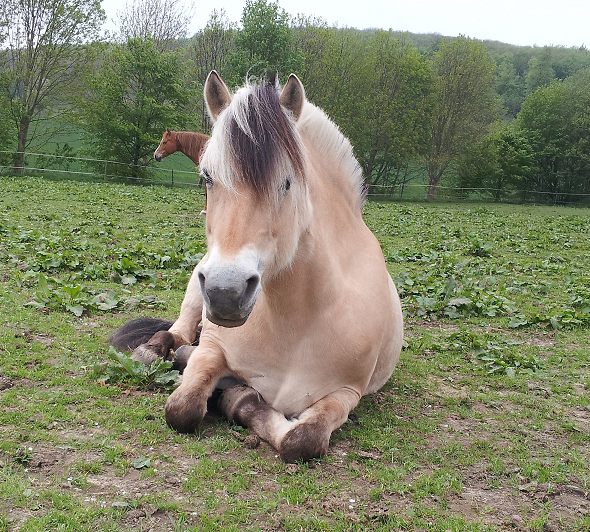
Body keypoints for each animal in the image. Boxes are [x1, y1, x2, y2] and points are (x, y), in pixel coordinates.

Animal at [110, 70, 404, 462]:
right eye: (206, 178)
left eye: (287, 182)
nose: (225, 292)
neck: (295, 323)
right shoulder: (213, 348)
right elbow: (182, 408)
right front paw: (223, 388)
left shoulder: (347, 393)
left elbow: (302, 440)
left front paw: (237, 397)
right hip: (195, 295)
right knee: (178, 332)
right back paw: (156, 350)